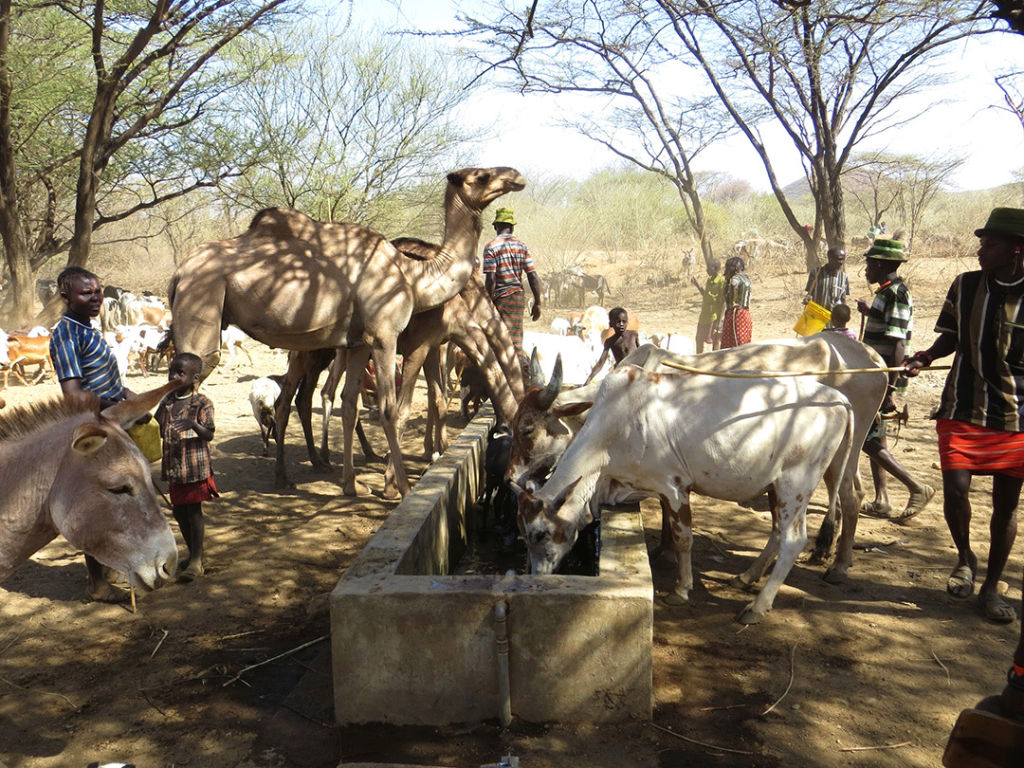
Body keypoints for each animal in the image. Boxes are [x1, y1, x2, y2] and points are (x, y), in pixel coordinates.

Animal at [170, 166, 525, 495]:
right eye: (481, 176)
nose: (516, 177)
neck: (413, 277)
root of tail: (178, 273)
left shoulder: (361, 343)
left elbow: (354, 404)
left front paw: (354, 484)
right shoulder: (389, 337)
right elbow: (392, 409)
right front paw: (399, 486)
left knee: (296, 399)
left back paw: (293, 472)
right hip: (204, 309)